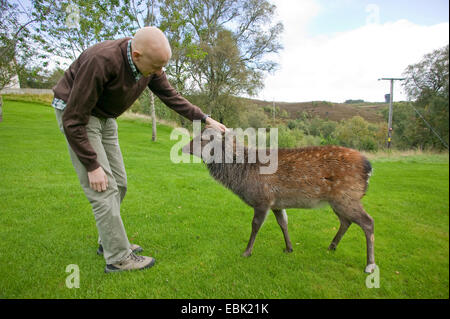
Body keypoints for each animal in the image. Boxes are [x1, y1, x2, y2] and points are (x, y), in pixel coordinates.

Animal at [181, 127, 374, 272]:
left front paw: (247, 252)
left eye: (205, 138)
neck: (242, 176)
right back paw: (332, 246)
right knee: (346, 221)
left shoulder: (262, 200)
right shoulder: (276, 203)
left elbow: (255, 225)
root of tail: (369, 167)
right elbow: (283, 223)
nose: (183, 148)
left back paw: (369, 265)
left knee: (368, 222)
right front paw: (289, 248)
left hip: (347, 197)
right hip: (339, 201)